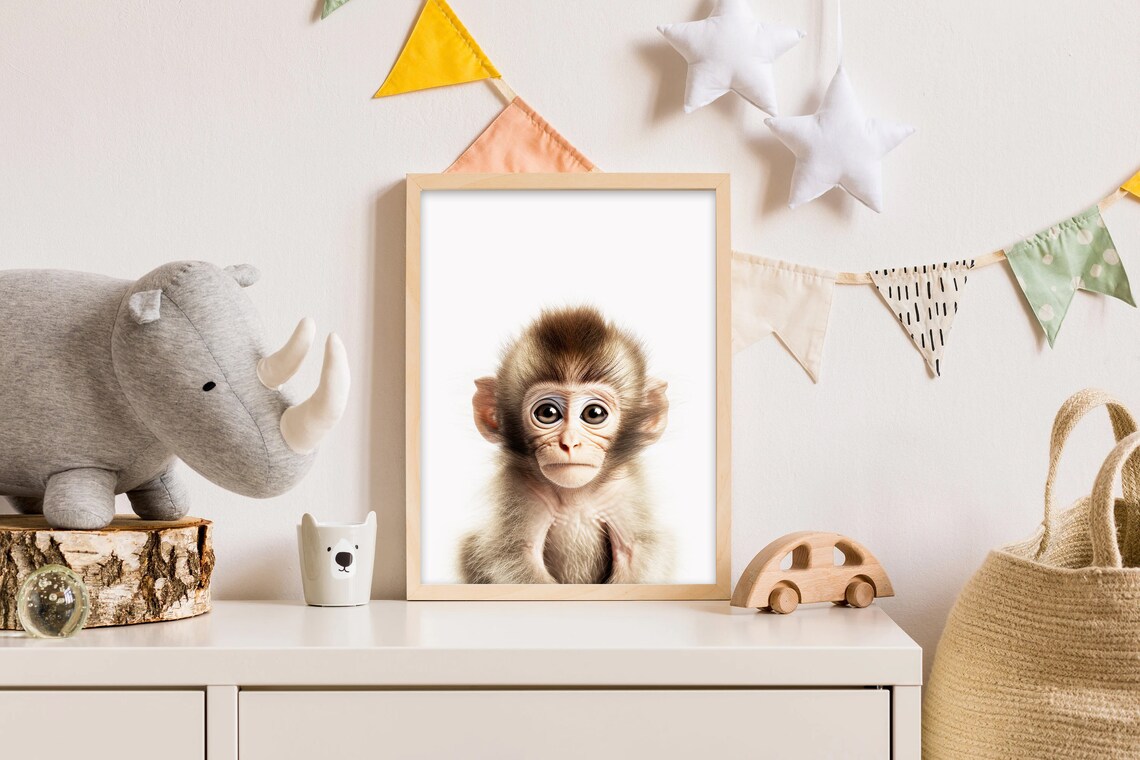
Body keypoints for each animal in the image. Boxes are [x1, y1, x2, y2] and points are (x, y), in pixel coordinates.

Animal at [459, 305, 675, 585]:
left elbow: (637, 551)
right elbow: (515, 555)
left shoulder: (624, 490)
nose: (570, 444)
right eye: (547, 413)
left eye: (594, 413)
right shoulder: (519, 489)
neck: (575, 498)